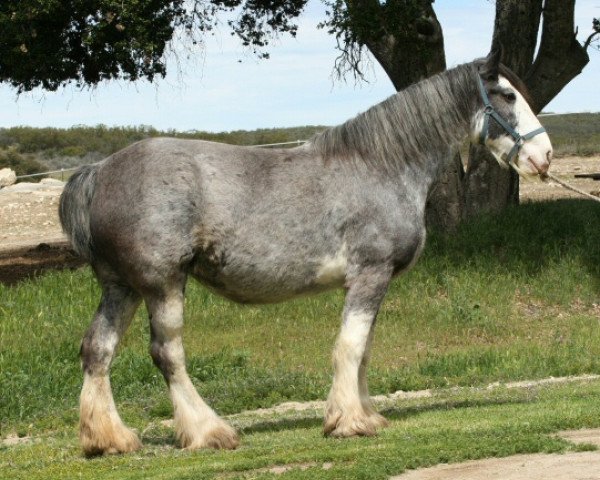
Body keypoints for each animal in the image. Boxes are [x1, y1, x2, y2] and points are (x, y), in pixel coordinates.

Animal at [58, 49, 552, 458]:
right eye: (507, 95)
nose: (544, 156)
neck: (382, 166)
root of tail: (99, 171)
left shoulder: (372, 282)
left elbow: (363, 349)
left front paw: (364, 414)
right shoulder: (370, 274)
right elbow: (350, 347)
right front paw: (348, 422)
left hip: (122, 287)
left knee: (98, 350)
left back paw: (109, 439)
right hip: (162, 284)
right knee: (167, 353)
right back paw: (208, 431)